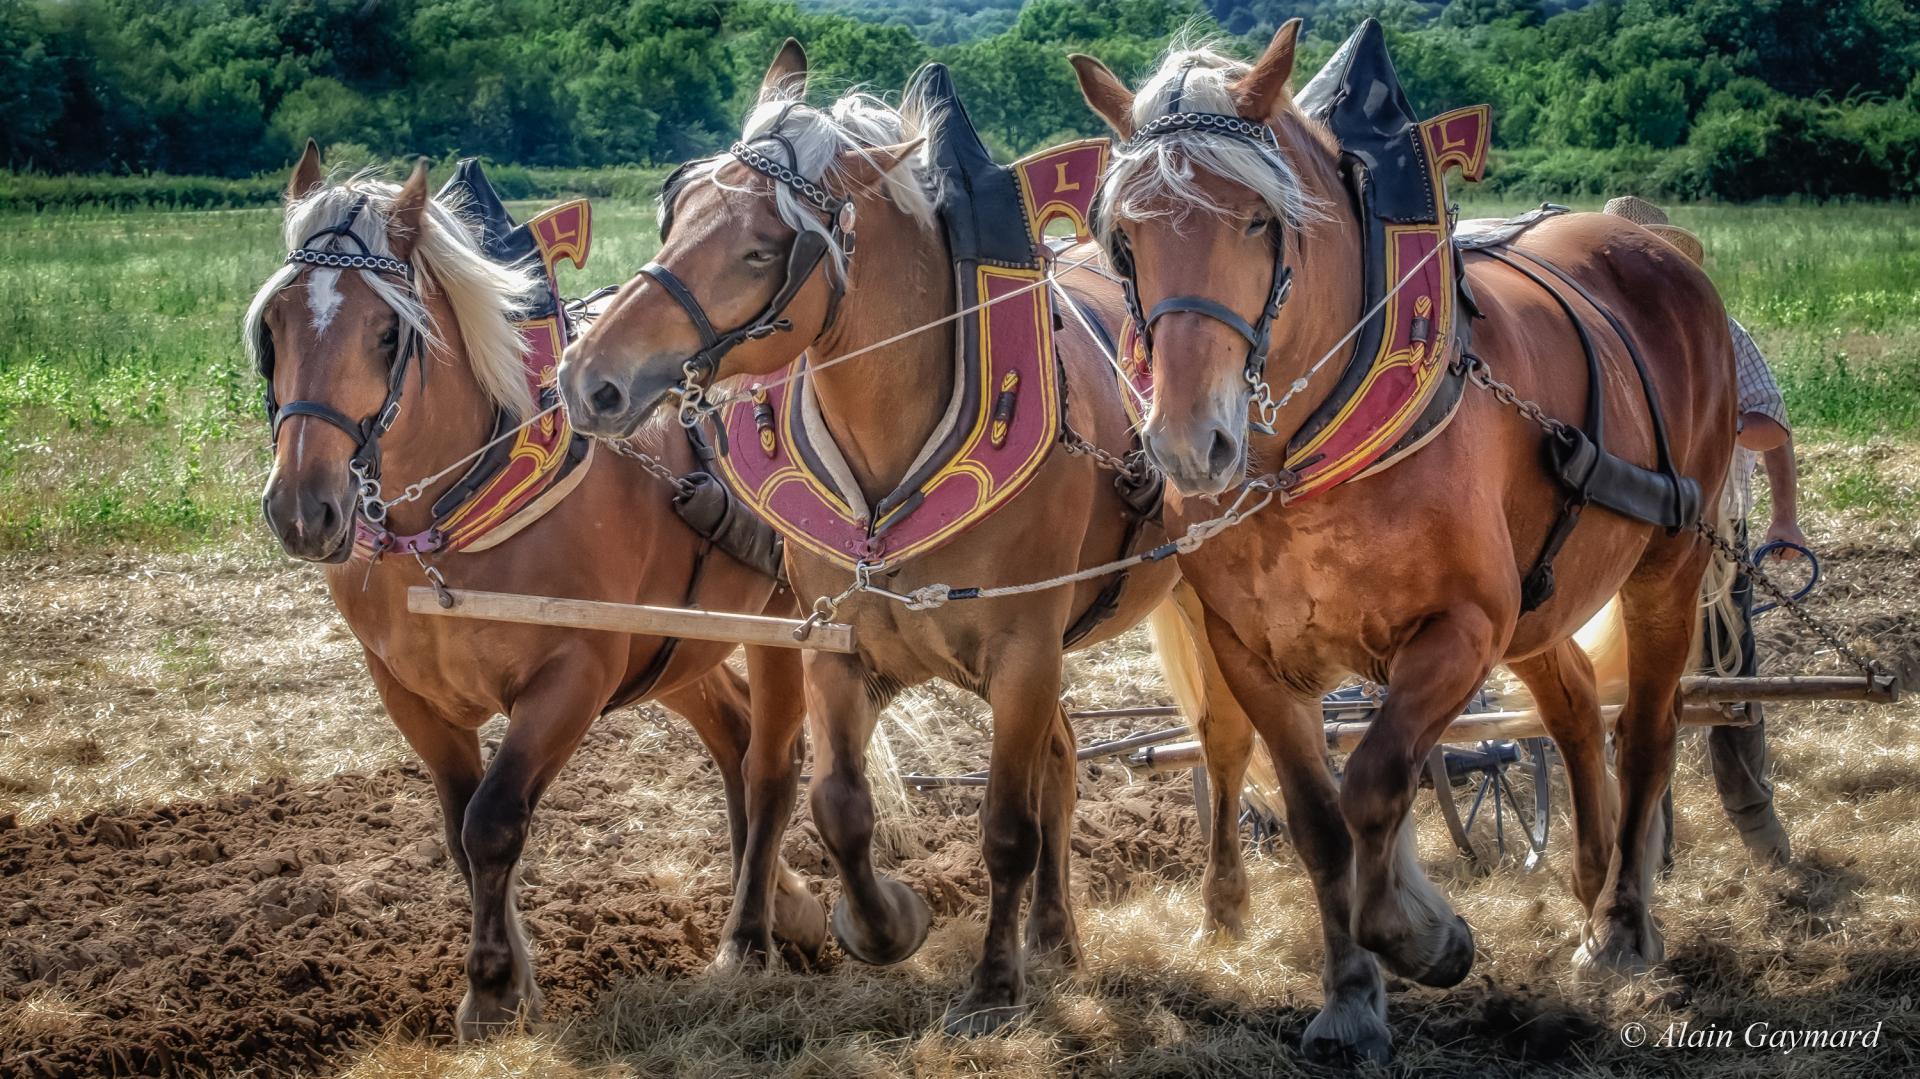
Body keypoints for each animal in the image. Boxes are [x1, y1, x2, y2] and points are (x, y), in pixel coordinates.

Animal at [247, 148, 825, 1036]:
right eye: (271, 329)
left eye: (387, 332)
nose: (304, 508)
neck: (449, 518)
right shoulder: (405, 689)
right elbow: (458, 828)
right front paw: (510, 976)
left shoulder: (574, 674)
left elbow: (493, 821)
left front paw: (490, 989)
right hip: (671, 642)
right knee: (732, 737)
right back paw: (781, 903)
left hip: (780, 622)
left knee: (771, 763)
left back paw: (749, 936)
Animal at [560, 46, 1182, 1029]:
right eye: (675, 219)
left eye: (762, 248)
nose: (590, 378)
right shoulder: (837, 645)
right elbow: (838, 804)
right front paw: (881, 922)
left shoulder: (1023, 647)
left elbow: (1005, 825)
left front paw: (993, 986)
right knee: (1063, 759)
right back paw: (1055, 933)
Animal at [1082, 23, 1743, 1059]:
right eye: (1125, 238)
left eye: (1258, 220)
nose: (1193, 443)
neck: (1315, 450)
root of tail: (1657, 245)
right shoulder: (1250, 651)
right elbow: (1320, 819)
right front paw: (1353, 996)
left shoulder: (1462, 629)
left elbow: (1375, 784)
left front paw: (1424, 934)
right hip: (1541, 599)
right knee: (1571, 708)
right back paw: (1588, 880)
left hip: (1667, 565)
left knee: (1645, 729)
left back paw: (1622, 924)